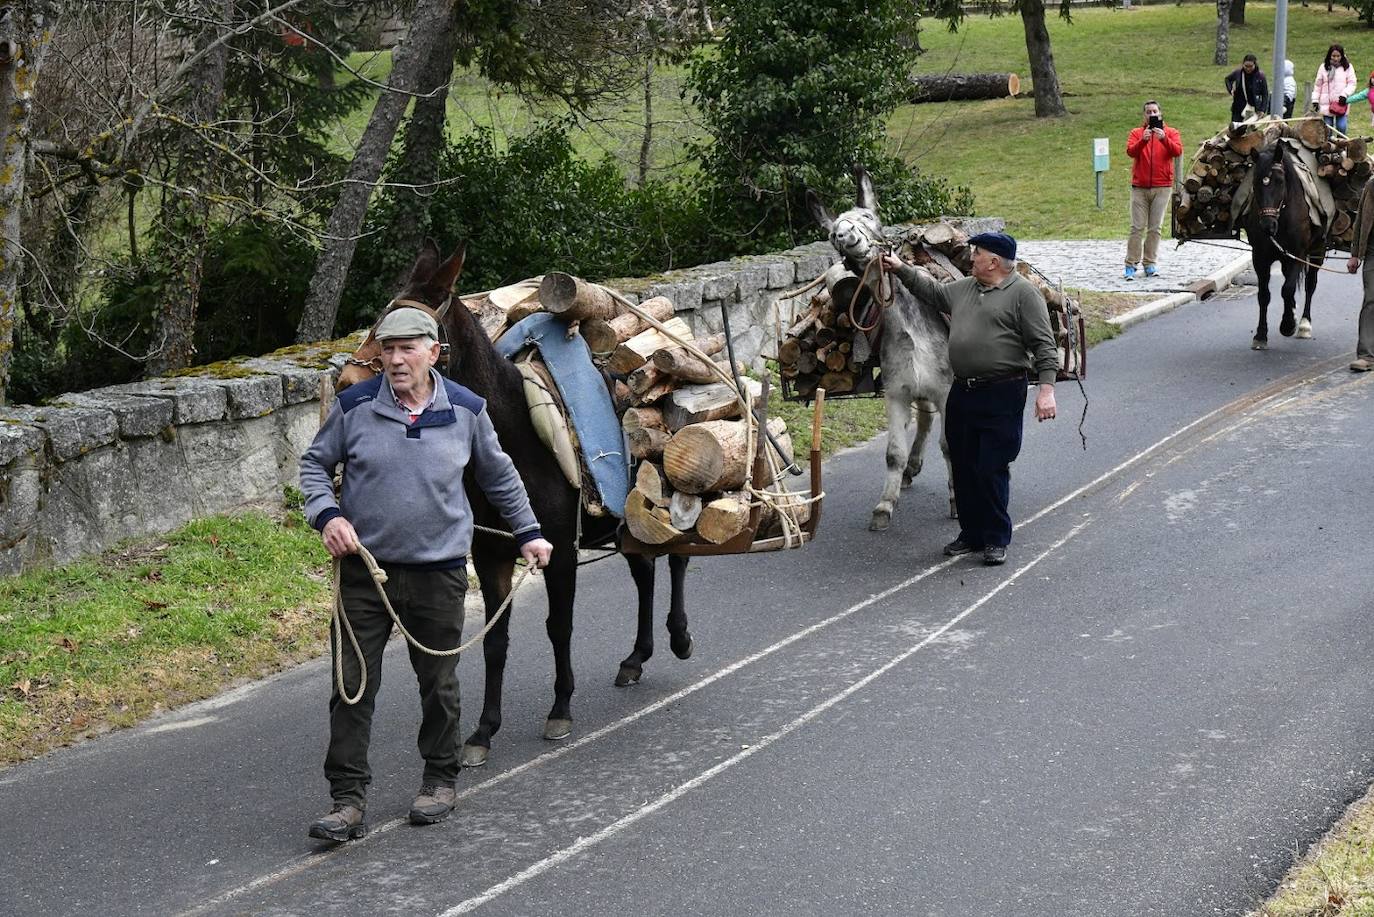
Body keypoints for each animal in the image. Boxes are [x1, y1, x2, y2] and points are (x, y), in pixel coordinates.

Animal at [338, 241, 692, 769]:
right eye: (380, 322)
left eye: (409, 336)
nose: (344, 381)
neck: (516, 439)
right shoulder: (492, 556)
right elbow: (495, 641)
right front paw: (483, 731)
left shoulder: (560, 552)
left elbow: (558, 626)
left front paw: (560, 709)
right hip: (626, 519)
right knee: (644, 570)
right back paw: (636, 658)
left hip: (658, 500)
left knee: (677, 558)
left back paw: (679, 637)